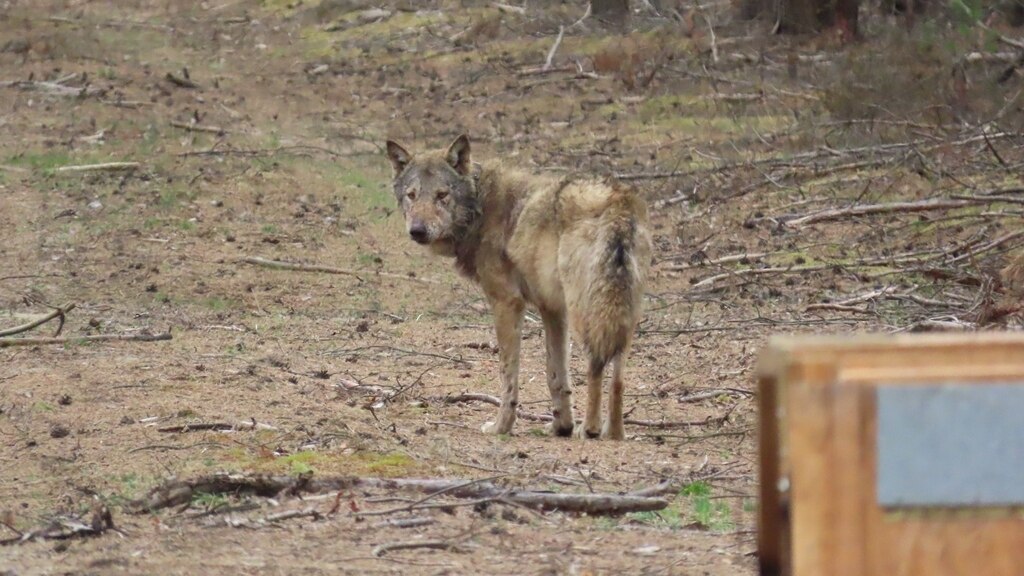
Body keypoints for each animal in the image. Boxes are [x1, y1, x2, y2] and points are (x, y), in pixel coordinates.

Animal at [385, 135, 652, 440]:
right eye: (412, 195)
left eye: (442, 195)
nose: (417, 230)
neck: (480, 207)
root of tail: (619, 202)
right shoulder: (552, 310)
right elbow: (556, 376)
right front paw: (561, 426)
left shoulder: (506, 302)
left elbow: (508, 374)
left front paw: (501, 426)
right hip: (622, 314)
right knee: (618, 376)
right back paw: (615, 432)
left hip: (587, 313)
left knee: (595, 364)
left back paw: (592, 429)